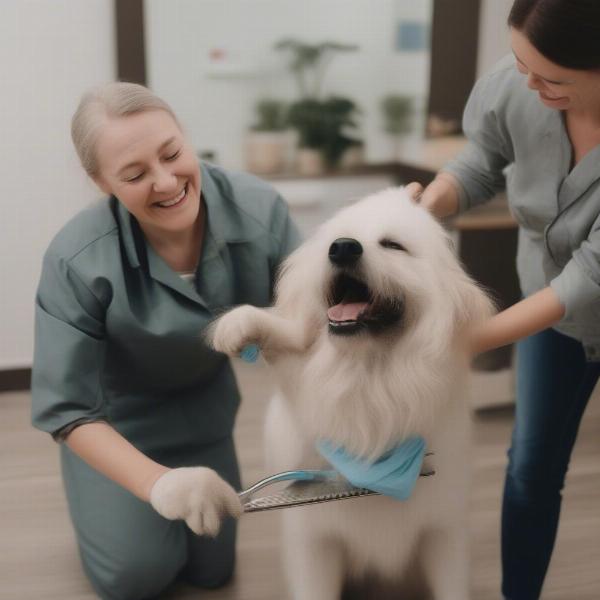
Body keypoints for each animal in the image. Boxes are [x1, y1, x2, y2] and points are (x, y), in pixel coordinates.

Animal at [210, 189, 492, 600]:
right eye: (335, 240)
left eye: (393, 245)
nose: (343, 248)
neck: (368, 384)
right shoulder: (317, 545)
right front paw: (242, 324)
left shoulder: (443, 533)